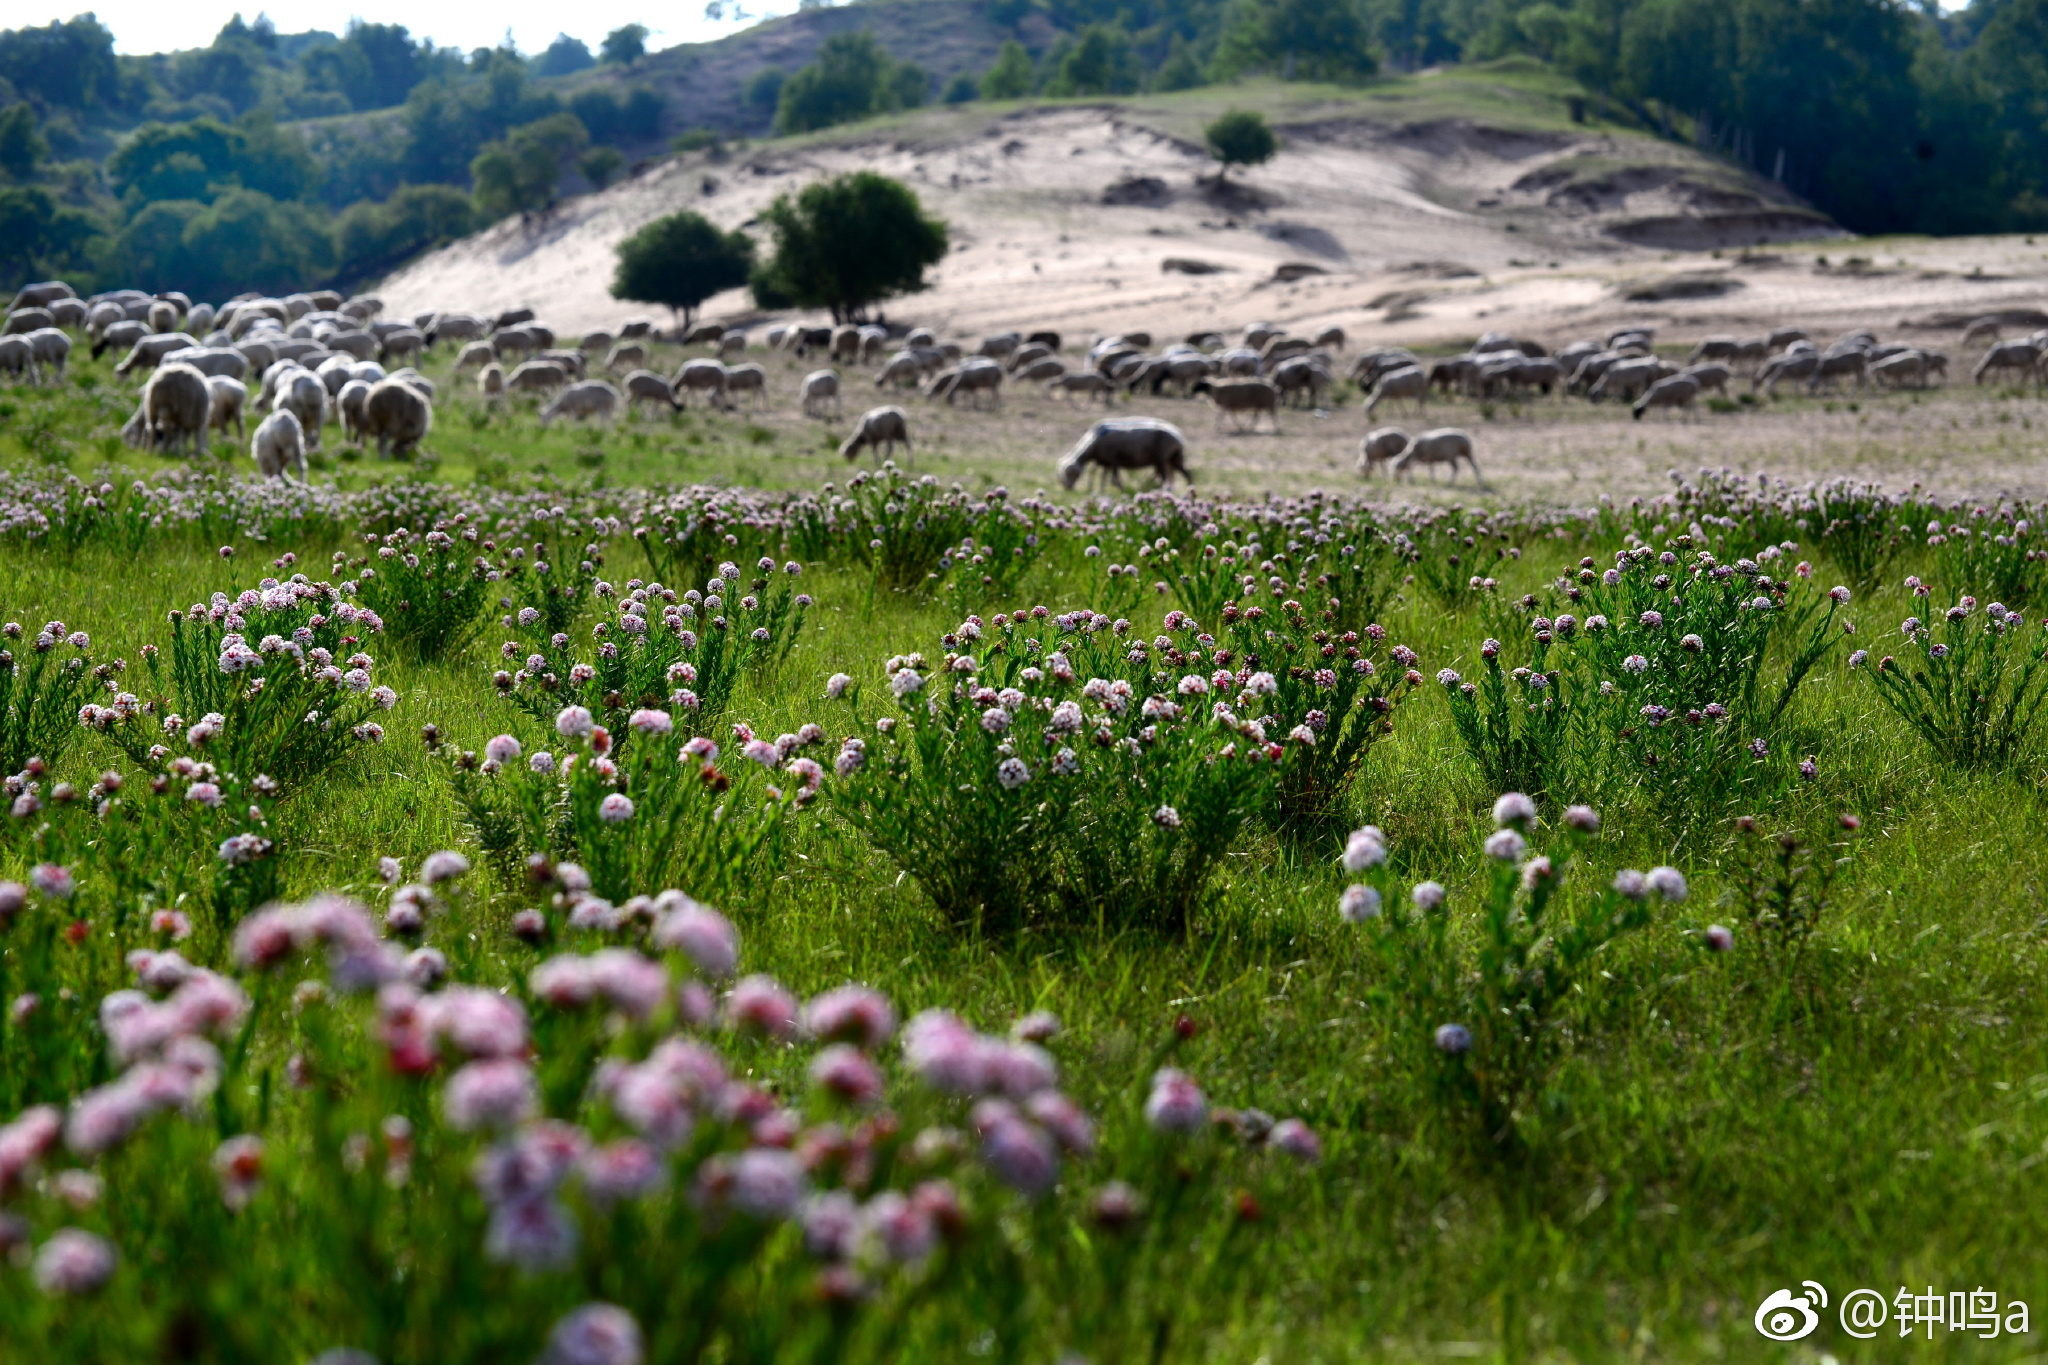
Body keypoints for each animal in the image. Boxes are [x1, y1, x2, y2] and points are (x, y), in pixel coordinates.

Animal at [1056, 421, 1187, 497]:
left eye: (1070, 474)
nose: (1067, 489)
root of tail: (1178, 434)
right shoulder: (1105, 462)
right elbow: (1103, 478)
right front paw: (1101, 491)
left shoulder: (1113, 460)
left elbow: (1113, 479)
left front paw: (1122, 490)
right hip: (1172, 459)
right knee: (1177, 475)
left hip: (1163, 458)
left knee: (1170, 477)